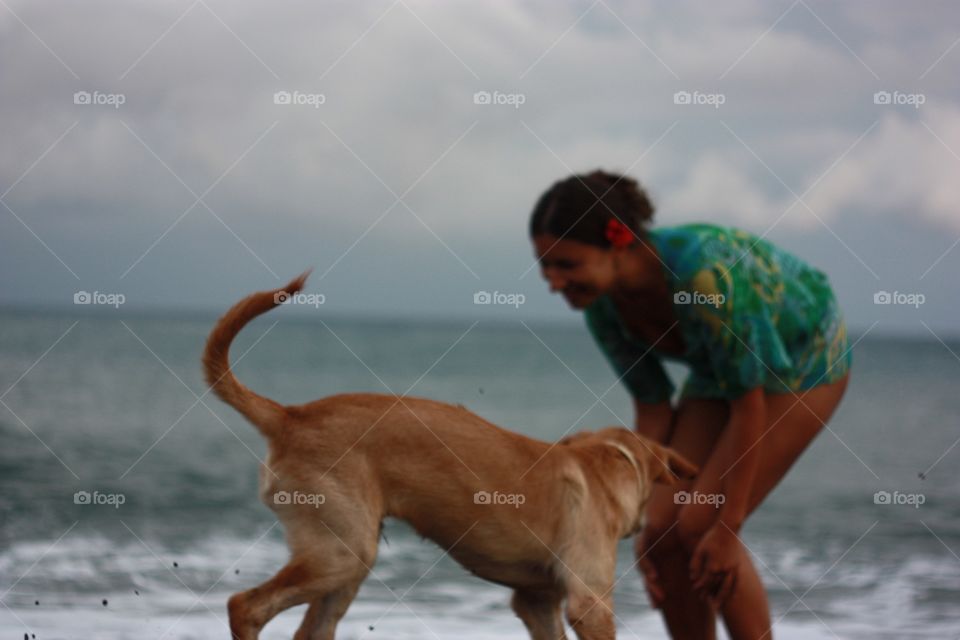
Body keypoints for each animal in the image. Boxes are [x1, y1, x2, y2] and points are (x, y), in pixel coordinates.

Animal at [204, 274, 696, 640]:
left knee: (308, 629)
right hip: (342, 552)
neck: (606, 462)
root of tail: (291, 416)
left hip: (346, 562)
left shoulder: (536, 601)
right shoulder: (588, 603)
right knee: (245, 606)